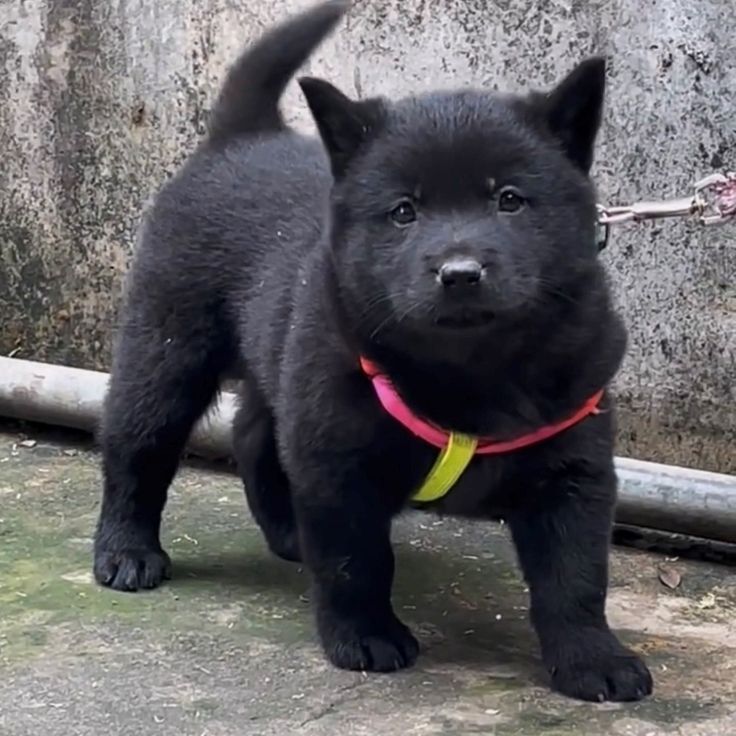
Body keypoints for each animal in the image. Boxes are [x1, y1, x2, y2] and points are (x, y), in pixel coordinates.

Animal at [95, 0, 652, 700]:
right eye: (404, 211)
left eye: (510, 200)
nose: (460, 272)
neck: (471, 370)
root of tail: (241, 135)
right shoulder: (340, 458)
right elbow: (355, 560)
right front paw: (364, 636)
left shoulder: (572, 467)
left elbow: (575, 576)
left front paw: (592, 657)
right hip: (168, 347)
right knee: (138, 446)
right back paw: (126, 551)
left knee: (254, 433)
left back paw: (287, 531)